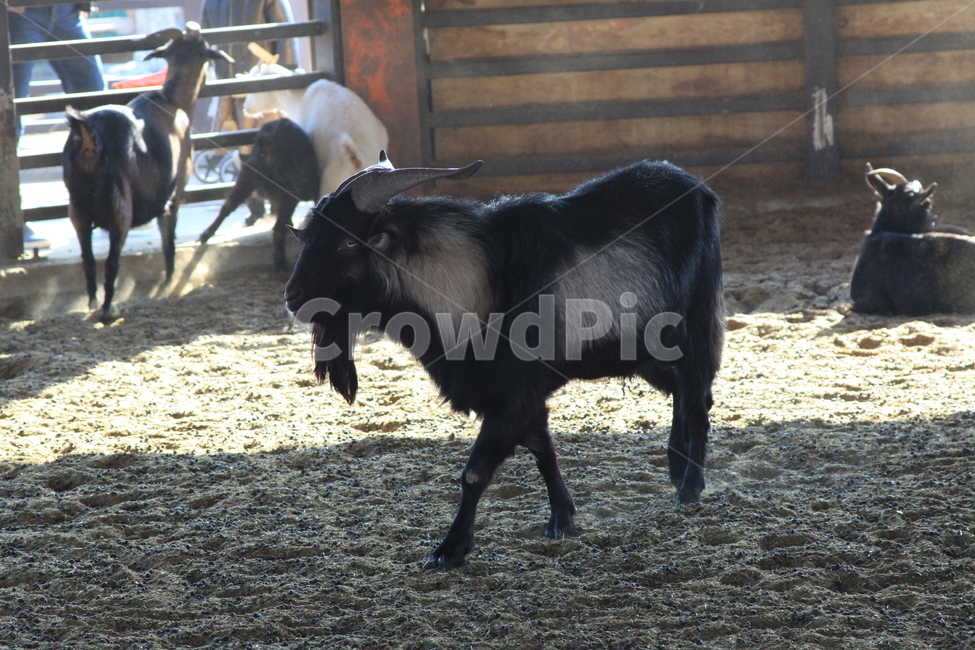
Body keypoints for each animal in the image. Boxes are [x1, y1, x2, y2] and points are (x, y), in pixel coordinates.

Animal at [63, 22, 232, 322]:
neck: (173, 101)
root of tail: (89, 135)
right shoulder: (176, 192)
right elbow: (168, 240)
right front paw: (168, 284)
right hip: (120, 206)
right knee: (112, 260)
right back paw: (108, 310)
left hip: (77, 210)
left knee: (88, 260)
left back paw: (92, 304)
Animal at [198, 117, 319, 271]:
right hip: (287, 193)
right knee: (278, 227)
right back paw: (280, 264)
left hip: (246, 177)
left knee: (228, 205)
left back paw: (205, 235)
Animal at [284, 153, 725, 569]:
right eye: (310, 236)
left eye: (348, 244)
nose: (292, 296)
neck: (478, 285)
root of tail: (699, 189)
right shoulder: (518, 395)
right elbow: (543, 449)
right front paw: (562, 518)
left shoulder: (513, 391)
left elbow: (476, 471)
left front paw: (449, 550)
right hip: (645, 354)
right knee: (683, 393)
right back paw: (675, 465)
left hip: (695, 325)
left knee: (697, 398)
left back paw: (690, 487)